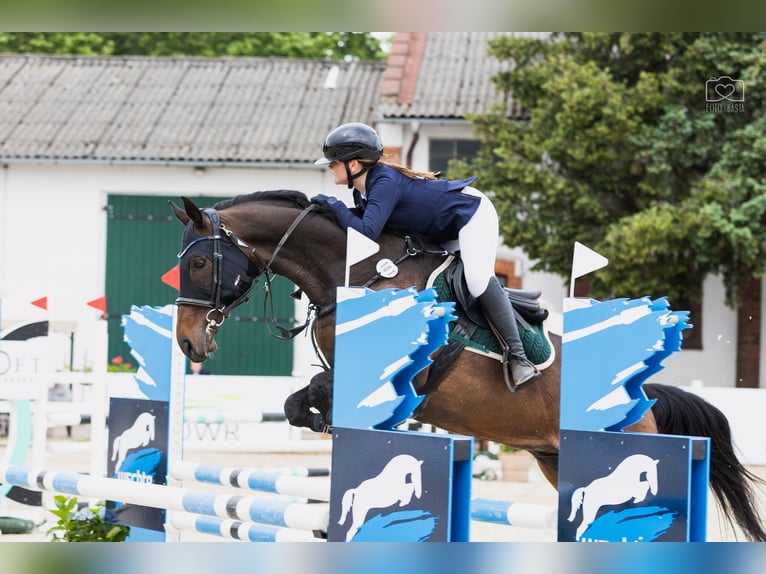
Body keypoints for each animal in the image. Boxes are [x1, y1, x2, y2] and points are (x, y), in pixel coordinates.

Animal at [171, 191, 766, 544]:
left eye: (198, 262)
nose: (186, 342)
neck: (359, 273)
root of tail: (644, 400)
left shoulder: (403, 378)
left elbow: (318, 390)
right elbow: (297, 402)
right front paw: (319, 424)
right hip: (555, 461)